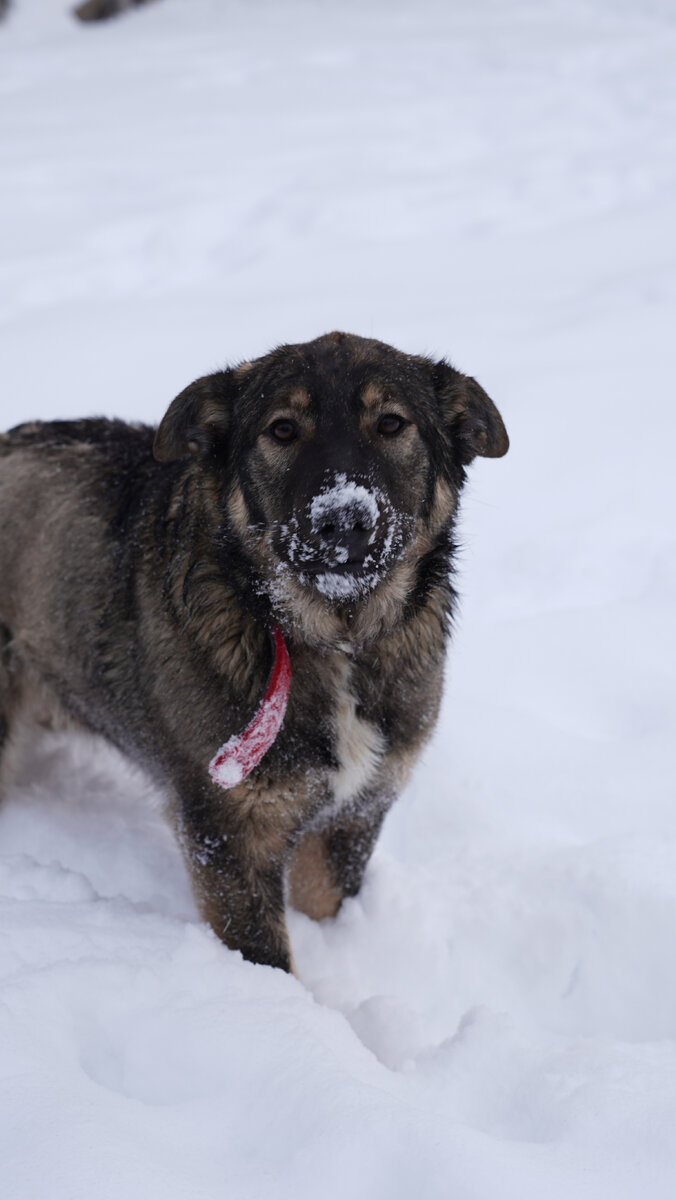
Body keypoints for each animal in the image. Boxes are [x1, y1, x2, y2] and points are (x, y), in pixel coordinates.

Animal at [0, 333, 509, 969]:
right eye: (283, 429)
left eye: (392, 423)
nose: (343, 521)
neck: (332, 638)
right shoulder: (229, 834)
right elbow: (267, 959)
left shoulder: (353, 816)